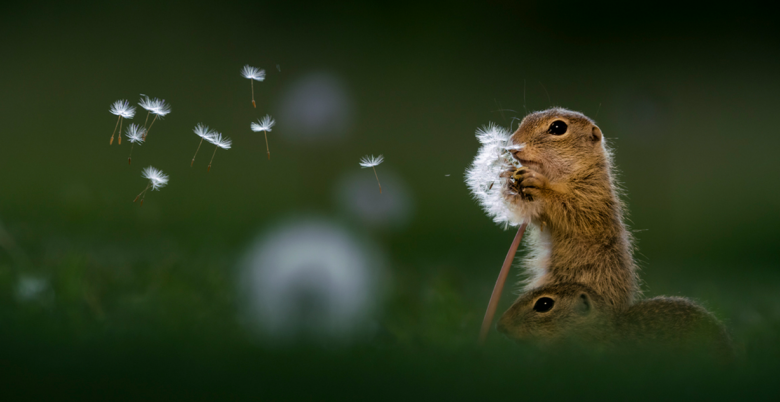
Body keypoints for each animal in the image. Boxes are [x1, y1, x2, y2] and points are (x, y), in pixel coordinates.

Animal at [500, 107, 640, 308]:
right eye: (525, 119)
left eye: (558, 127)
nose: (513, 144)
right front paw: (509, 176)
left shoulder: (591, 198)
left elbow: (570, 208)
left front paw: (540, 186)